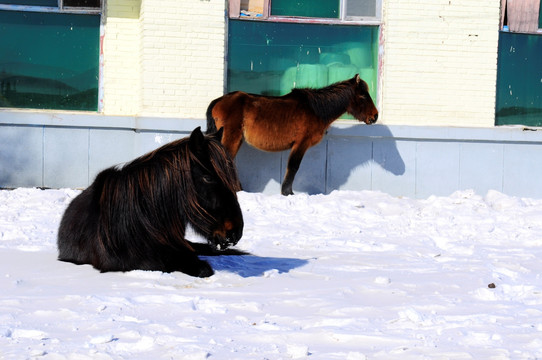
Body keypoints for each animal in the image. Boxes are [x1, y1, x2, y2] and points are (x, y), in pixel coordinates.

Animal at [206, 74, 380, 195]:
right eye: (363, 96)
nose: (375, 116)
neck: (316, 109)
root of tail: (219, 100)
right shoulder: (301, 143)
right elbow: (293, 167)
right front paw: (287, 192)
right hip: (232, 138)